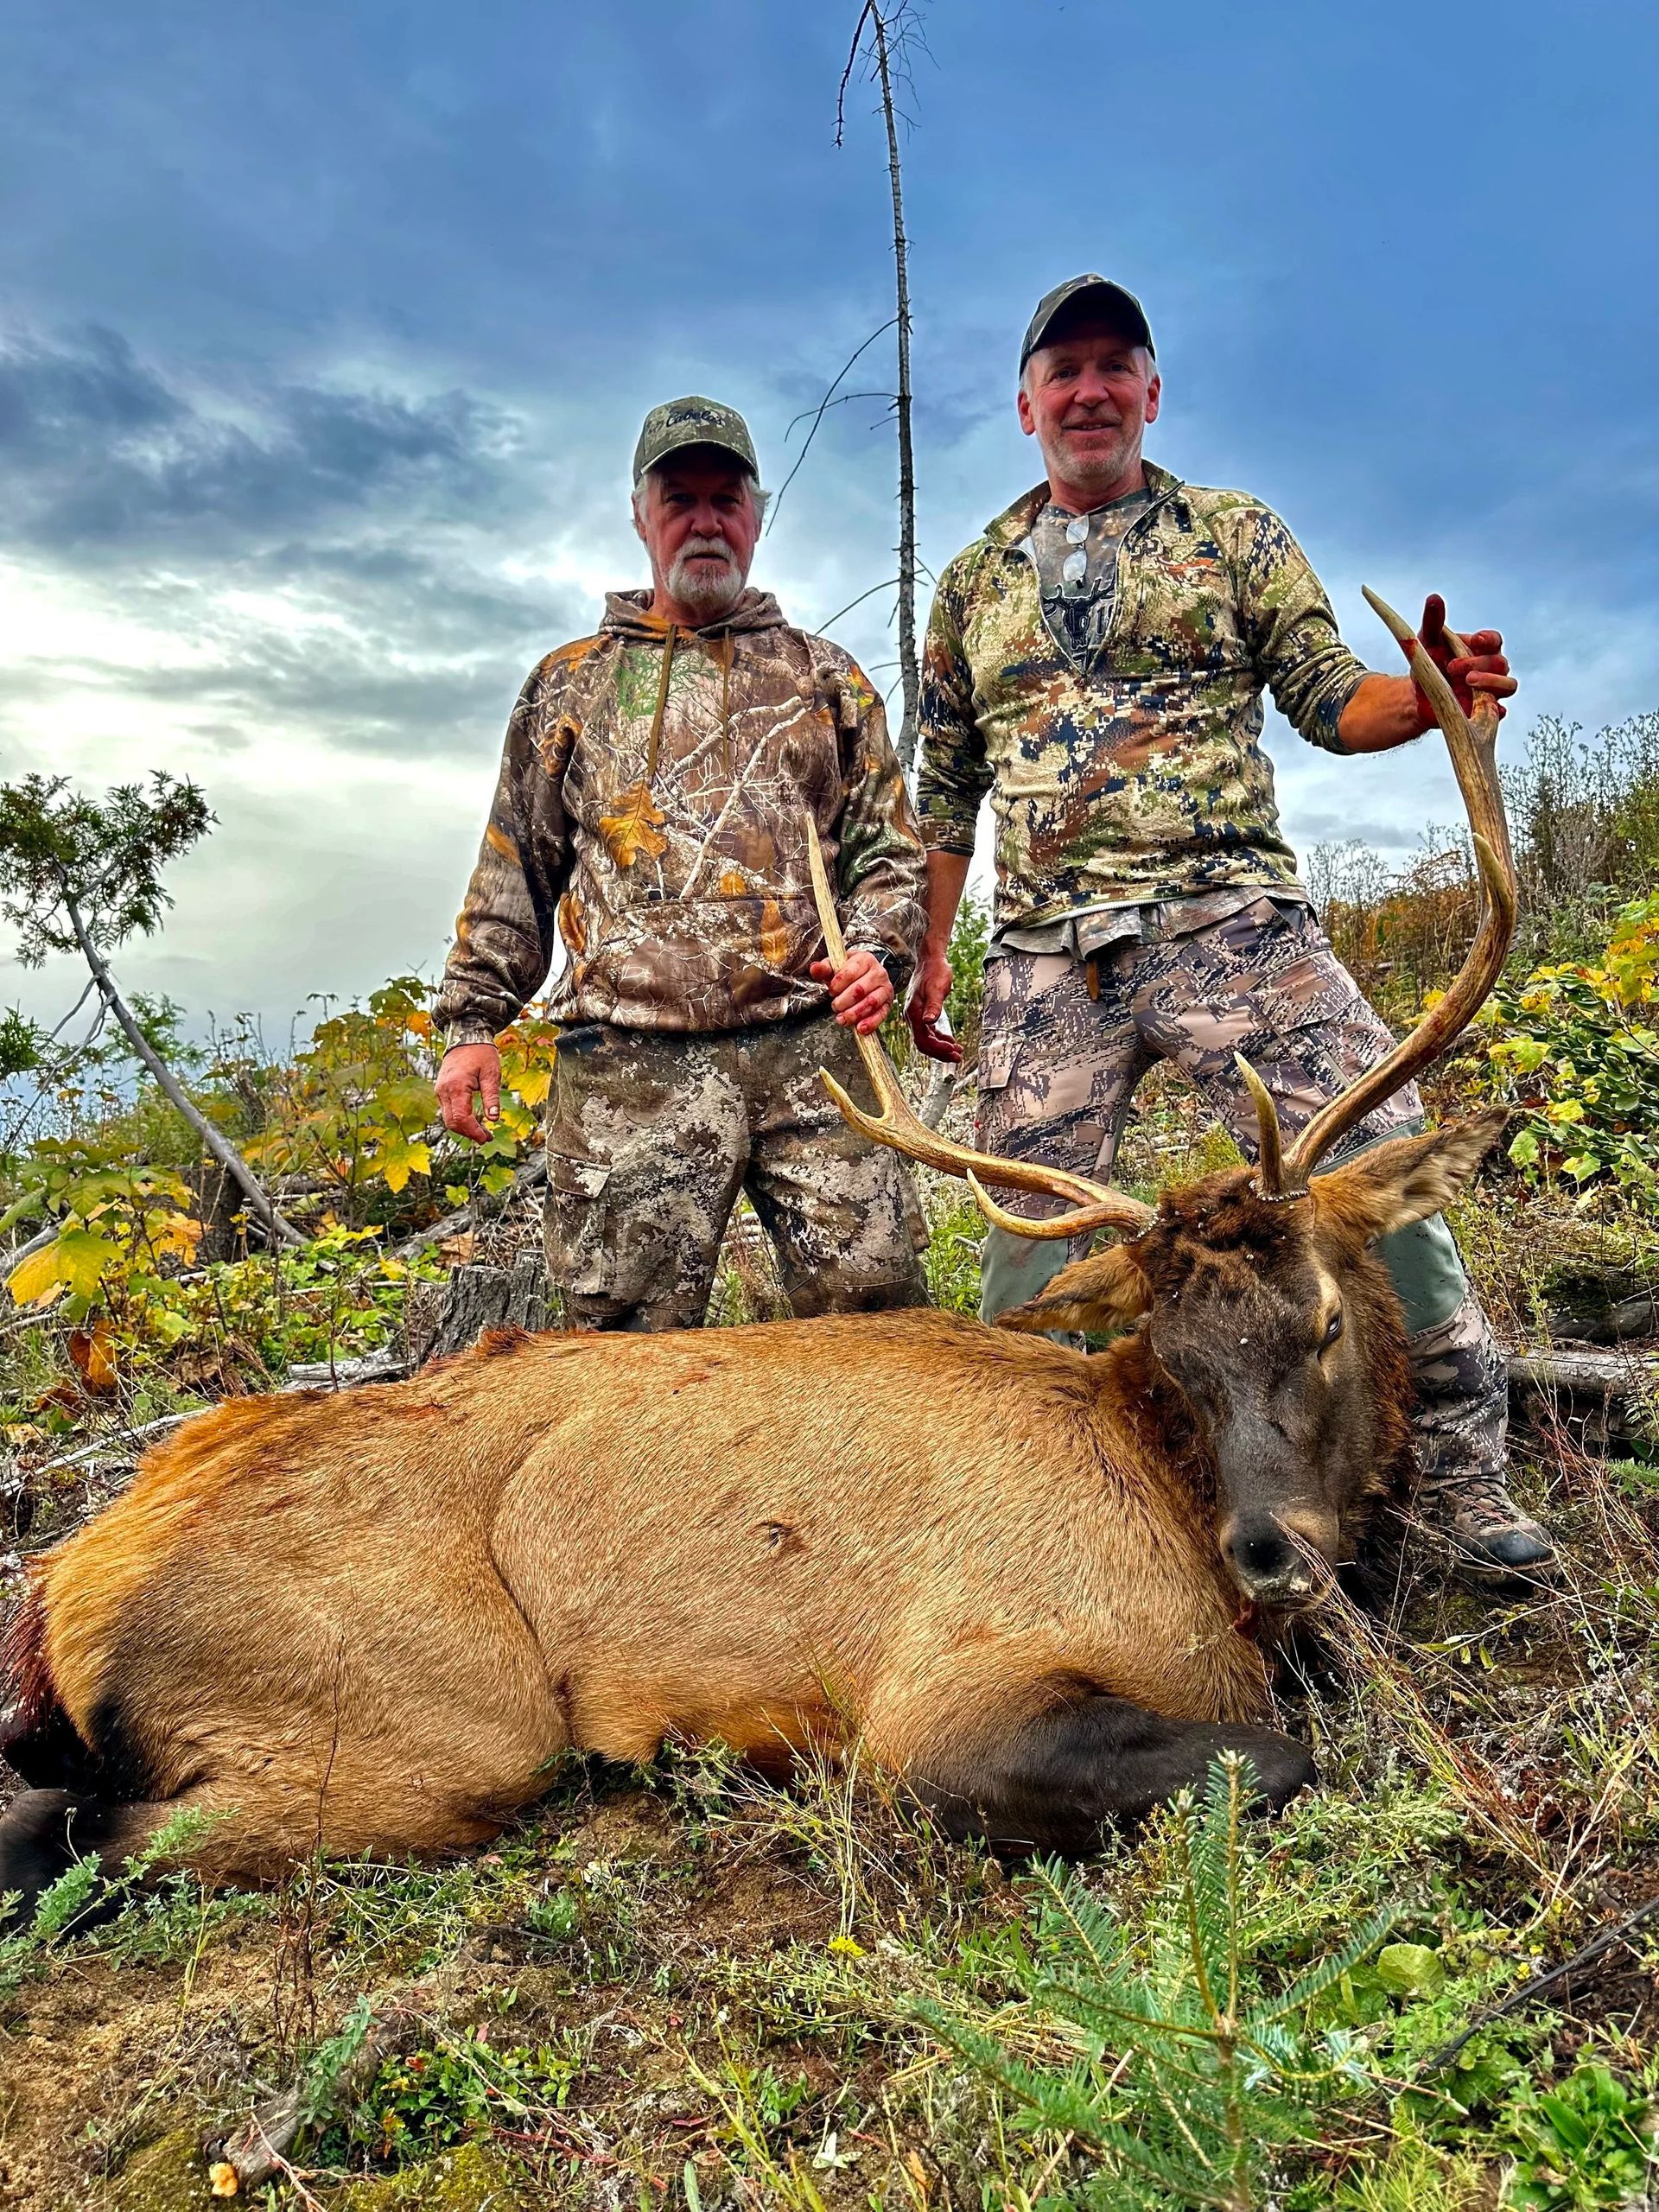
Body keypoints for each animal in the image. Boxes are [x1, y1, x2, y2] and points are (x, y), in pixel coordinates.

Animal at [0, 596, 1516, 1916]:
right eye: (1176, 1354)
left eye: (1324, 1319)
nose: (1271, 1554)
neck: (1157, 1484)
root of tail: (69, 1584)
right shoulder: (945, 1701)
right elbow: (1275, 1758)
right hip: (424, 1723)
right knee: (83, 1843)